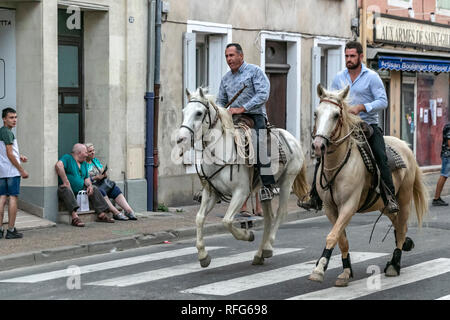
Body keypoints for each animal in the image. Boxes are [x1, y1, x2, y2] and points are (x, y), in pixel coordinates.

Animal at [176, 88, 310, 268]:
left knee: (281, 213)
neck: (220, 151)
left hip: (286, 183)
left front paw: (248, 235)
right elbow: (199, 218)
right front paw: (203, 255)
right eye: (184, 112)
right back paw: (260, 254)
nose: (181, 139)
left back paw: (268, 247)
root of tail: (291, 137)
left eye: (199, 113)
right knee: (269, 218)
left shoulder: (241, 192)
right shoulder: (212, 192)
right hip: (263, 190)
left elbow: (226, 221)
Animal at [310, 84, 428, 286]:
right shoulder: (330, 208)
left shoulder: (348, 206)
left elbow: (333, 235)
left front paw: (319, 269)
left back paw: (394, 265)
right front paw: (345, 272)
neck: (337, 165)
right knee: (398, 224)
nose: (318, 146)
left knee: (401, 227)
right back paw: (405, 245)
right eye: (317, 113)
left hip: (404, 199)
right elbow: (341, 239)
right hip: (384, 204)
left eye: (336, 115)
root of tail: (405, 145)